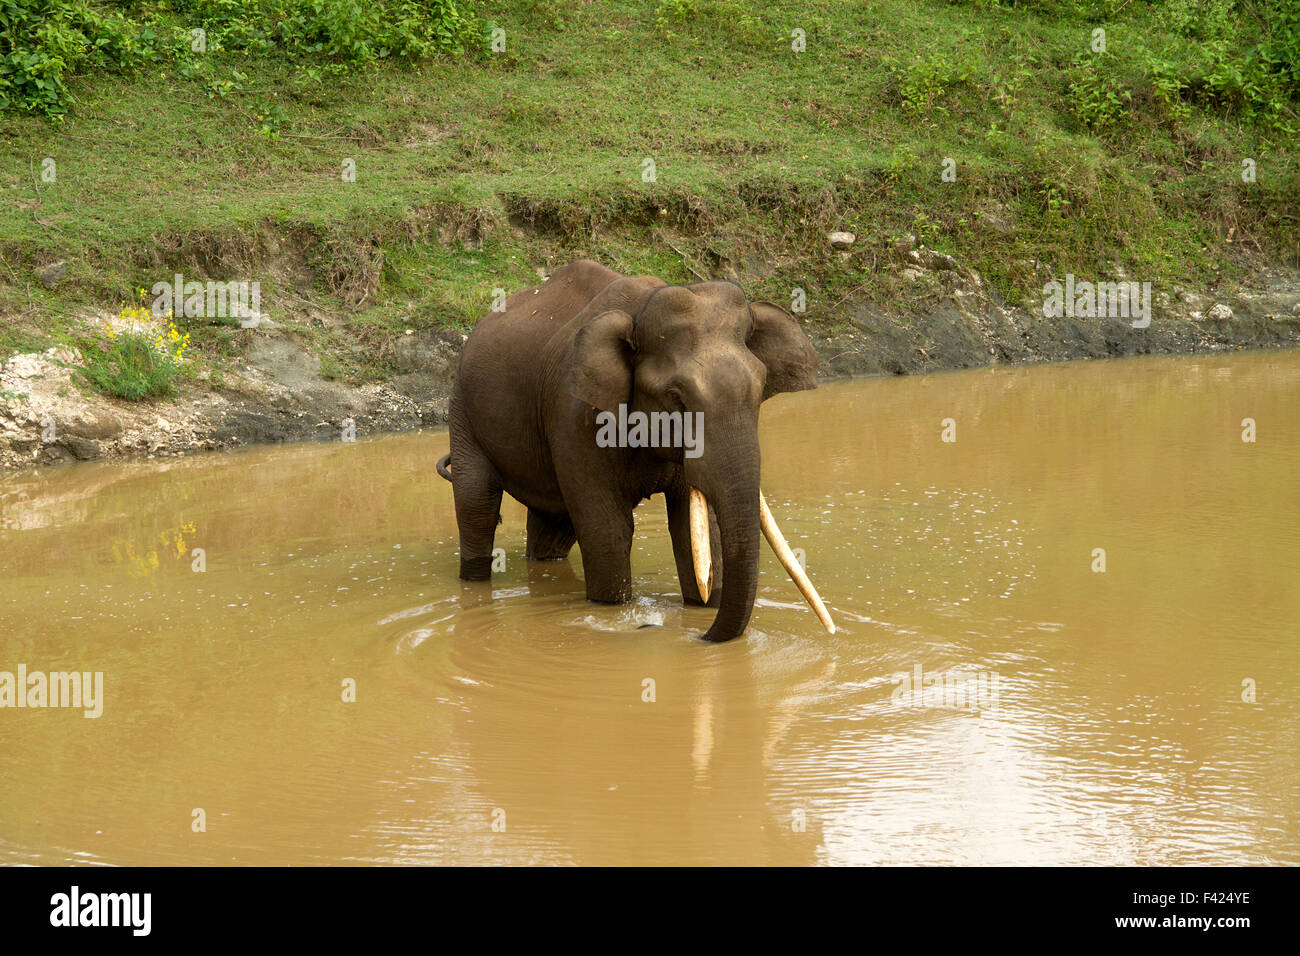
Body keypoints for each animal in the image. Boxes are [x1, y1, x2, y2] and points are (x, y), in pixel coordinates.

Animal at [436, 260, 832, 642]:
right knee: (477, 505)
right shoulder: (575, 412)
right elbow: (608, 530)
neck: (643, 308)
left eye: (761, 388)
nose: (700, 636)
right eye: (676, 398)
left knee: (554, 525)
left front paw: (701, 603)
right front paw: (614, 615)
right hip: (463, 411)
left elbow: (692, 529)